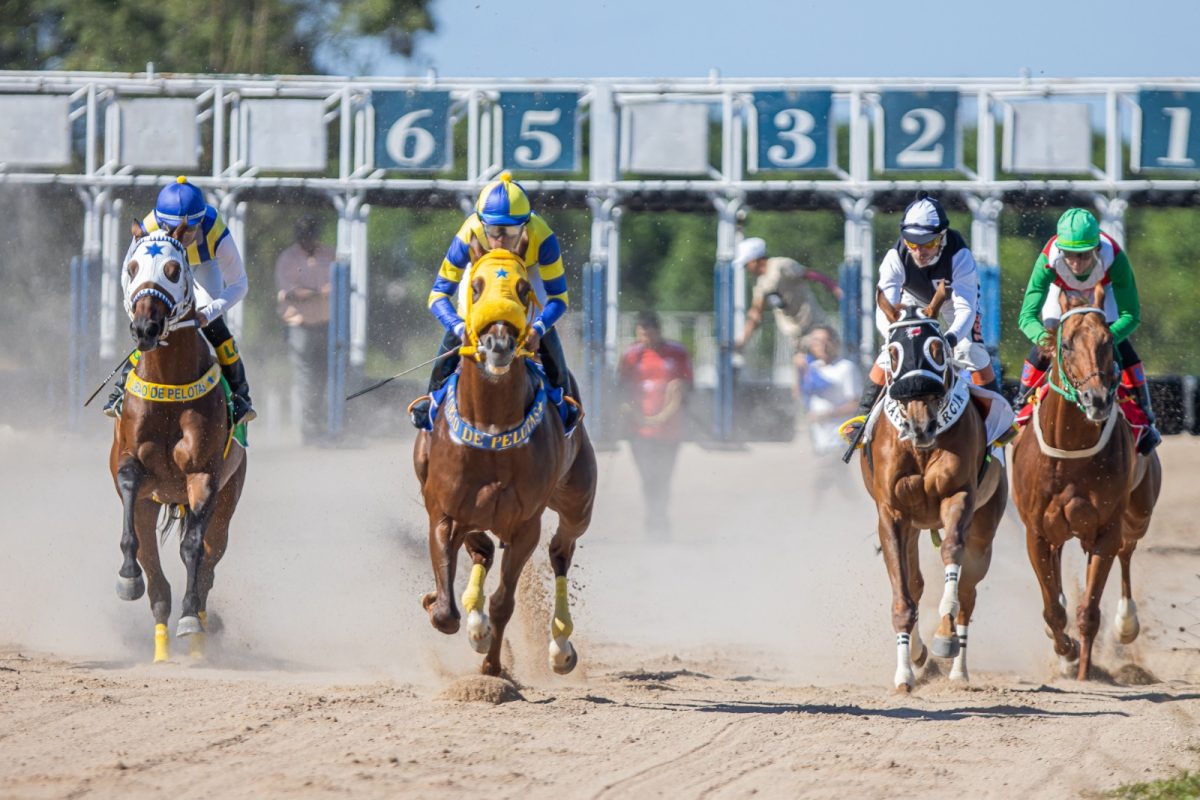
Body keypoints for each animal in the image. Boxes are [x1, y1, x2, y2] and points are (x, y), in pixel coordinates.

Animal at [109, 226, 246, 662]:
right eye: (132, 268)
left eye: (173, 269)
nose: (145, 328)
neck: (169, 383)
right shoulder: (131, 466)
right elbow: (130, 485)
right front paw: (127, 578)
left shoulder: (204, 476)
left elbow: (193, 550)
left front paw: (190, 619)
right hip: (151, 507)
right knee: (156, 580)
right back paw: (160, 648)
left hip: (228, 502)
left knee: (209, 563)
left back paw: (198, 634)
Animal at [415, 248, 597, 676]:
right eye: (476, 287)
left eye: (524, 288)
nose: (497, 342)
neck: (492, 427)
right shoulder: (443, 512)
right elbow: (445, 611)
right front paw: (445, 607)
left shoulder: (524, 525)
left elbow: (503, 601)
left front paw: (492, 664)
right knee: (481, 549)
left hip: (578, 502)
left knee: (561, 550)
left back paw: (560, 646)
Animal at [859, 284, 1008, 690]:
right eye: (893, 352)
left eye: (937, 348)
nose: (920, 425)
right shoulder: (892, 513)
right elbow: (904, 593)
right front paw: (904, 672)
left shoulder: (959, 497)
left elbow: (952, 560)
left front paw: (943, 637)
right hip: (914, 525)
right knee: (915, 581)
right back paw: (917, 654)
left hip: (986, 527)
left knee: (968, 590)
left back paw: (958, 669)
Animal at [1012, 284, 1161, 681]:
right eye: (1066, 345)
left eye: (1108, 342)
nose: (1096, 399)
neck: (1070, 449)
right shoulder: (1036, 530)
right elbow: (1053, 608)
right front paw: (1065, 649)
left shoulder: (1106, 529)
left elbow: (1088, 612)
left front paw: (1083, 672)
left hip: (1138, 514)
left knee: (1127, 551)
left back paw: (1126, 623)